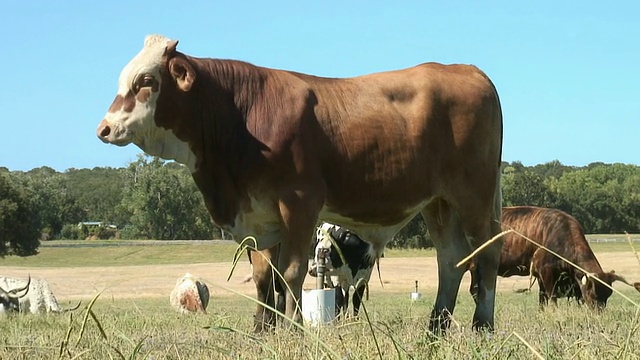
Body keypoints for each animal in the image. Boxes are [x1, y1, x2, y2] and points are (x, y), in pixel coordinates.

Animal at [96, 35, 504, 334]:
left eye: (146, 81)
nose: (104, 128)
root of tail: (468, 70)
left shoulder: (300, 202)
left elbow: (290, 271)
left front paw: (293, 328)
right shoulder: (258, 214)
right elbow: (264, 276)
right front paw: (262, 330)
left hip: (474, 196)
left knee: (485, 254)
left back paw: (481, 324)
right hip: (438, 203)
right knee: (451, 258)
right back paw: (436, 327)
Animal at [470, 207, 640, 308]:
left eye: (608, 296)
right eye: (593, 295)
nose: (598, 313)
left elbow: (542, 300)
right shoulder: (546, 273)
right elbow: (551, 299)